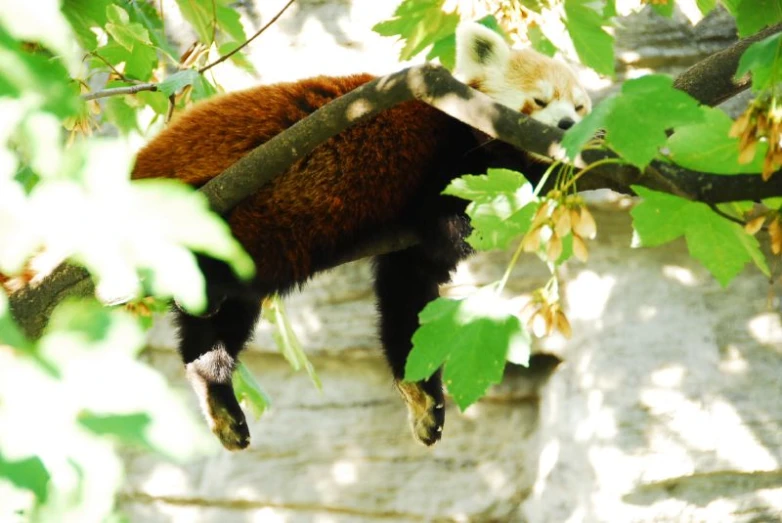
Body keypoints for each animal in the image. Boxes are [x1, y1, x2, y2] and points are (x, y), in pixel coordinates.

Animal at [132, 23, 592, 450]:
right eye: (540, 100)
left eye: (580, 106)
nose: (568, 124)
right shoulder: (447, 165)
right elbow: (449, 230)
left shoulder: (409, 240)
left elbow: (408, 292)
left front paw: (422, 395)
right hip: (243, 212)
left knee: (222, 318)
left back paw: (215, 389)